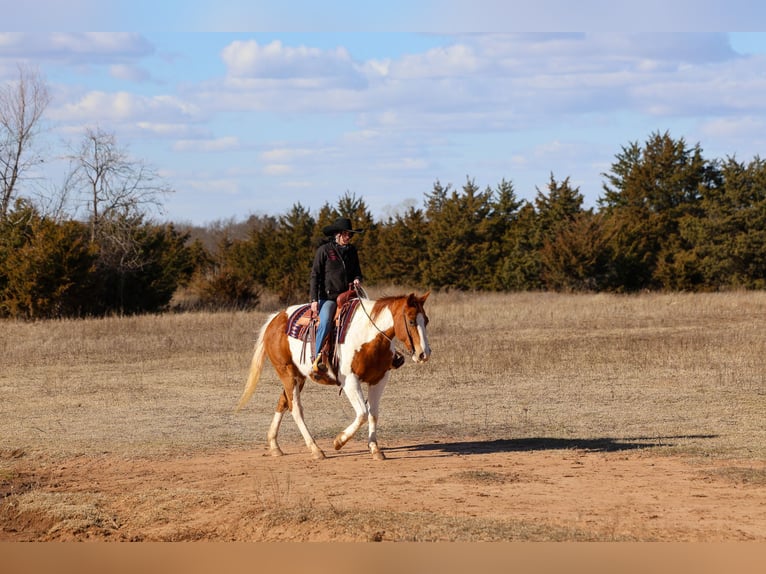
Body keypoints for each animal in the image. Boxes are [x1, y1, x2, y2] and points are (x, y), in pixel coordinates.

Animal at [236, 291, 431, 460]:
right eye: (411, 321)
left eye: (426, 321)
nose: (424, 354)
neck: (368, 335)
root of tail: (275, 319)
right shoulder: (350, 380)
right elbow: (362, 413)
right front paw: (339, 441)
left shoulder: (379, 380)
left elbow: (373, 414)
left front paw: (375, 449)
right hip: (287, 372)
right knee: (295, 408)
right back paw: (315, 449)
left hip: (299, 376)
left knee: (283, 402)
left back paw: (274, 445)